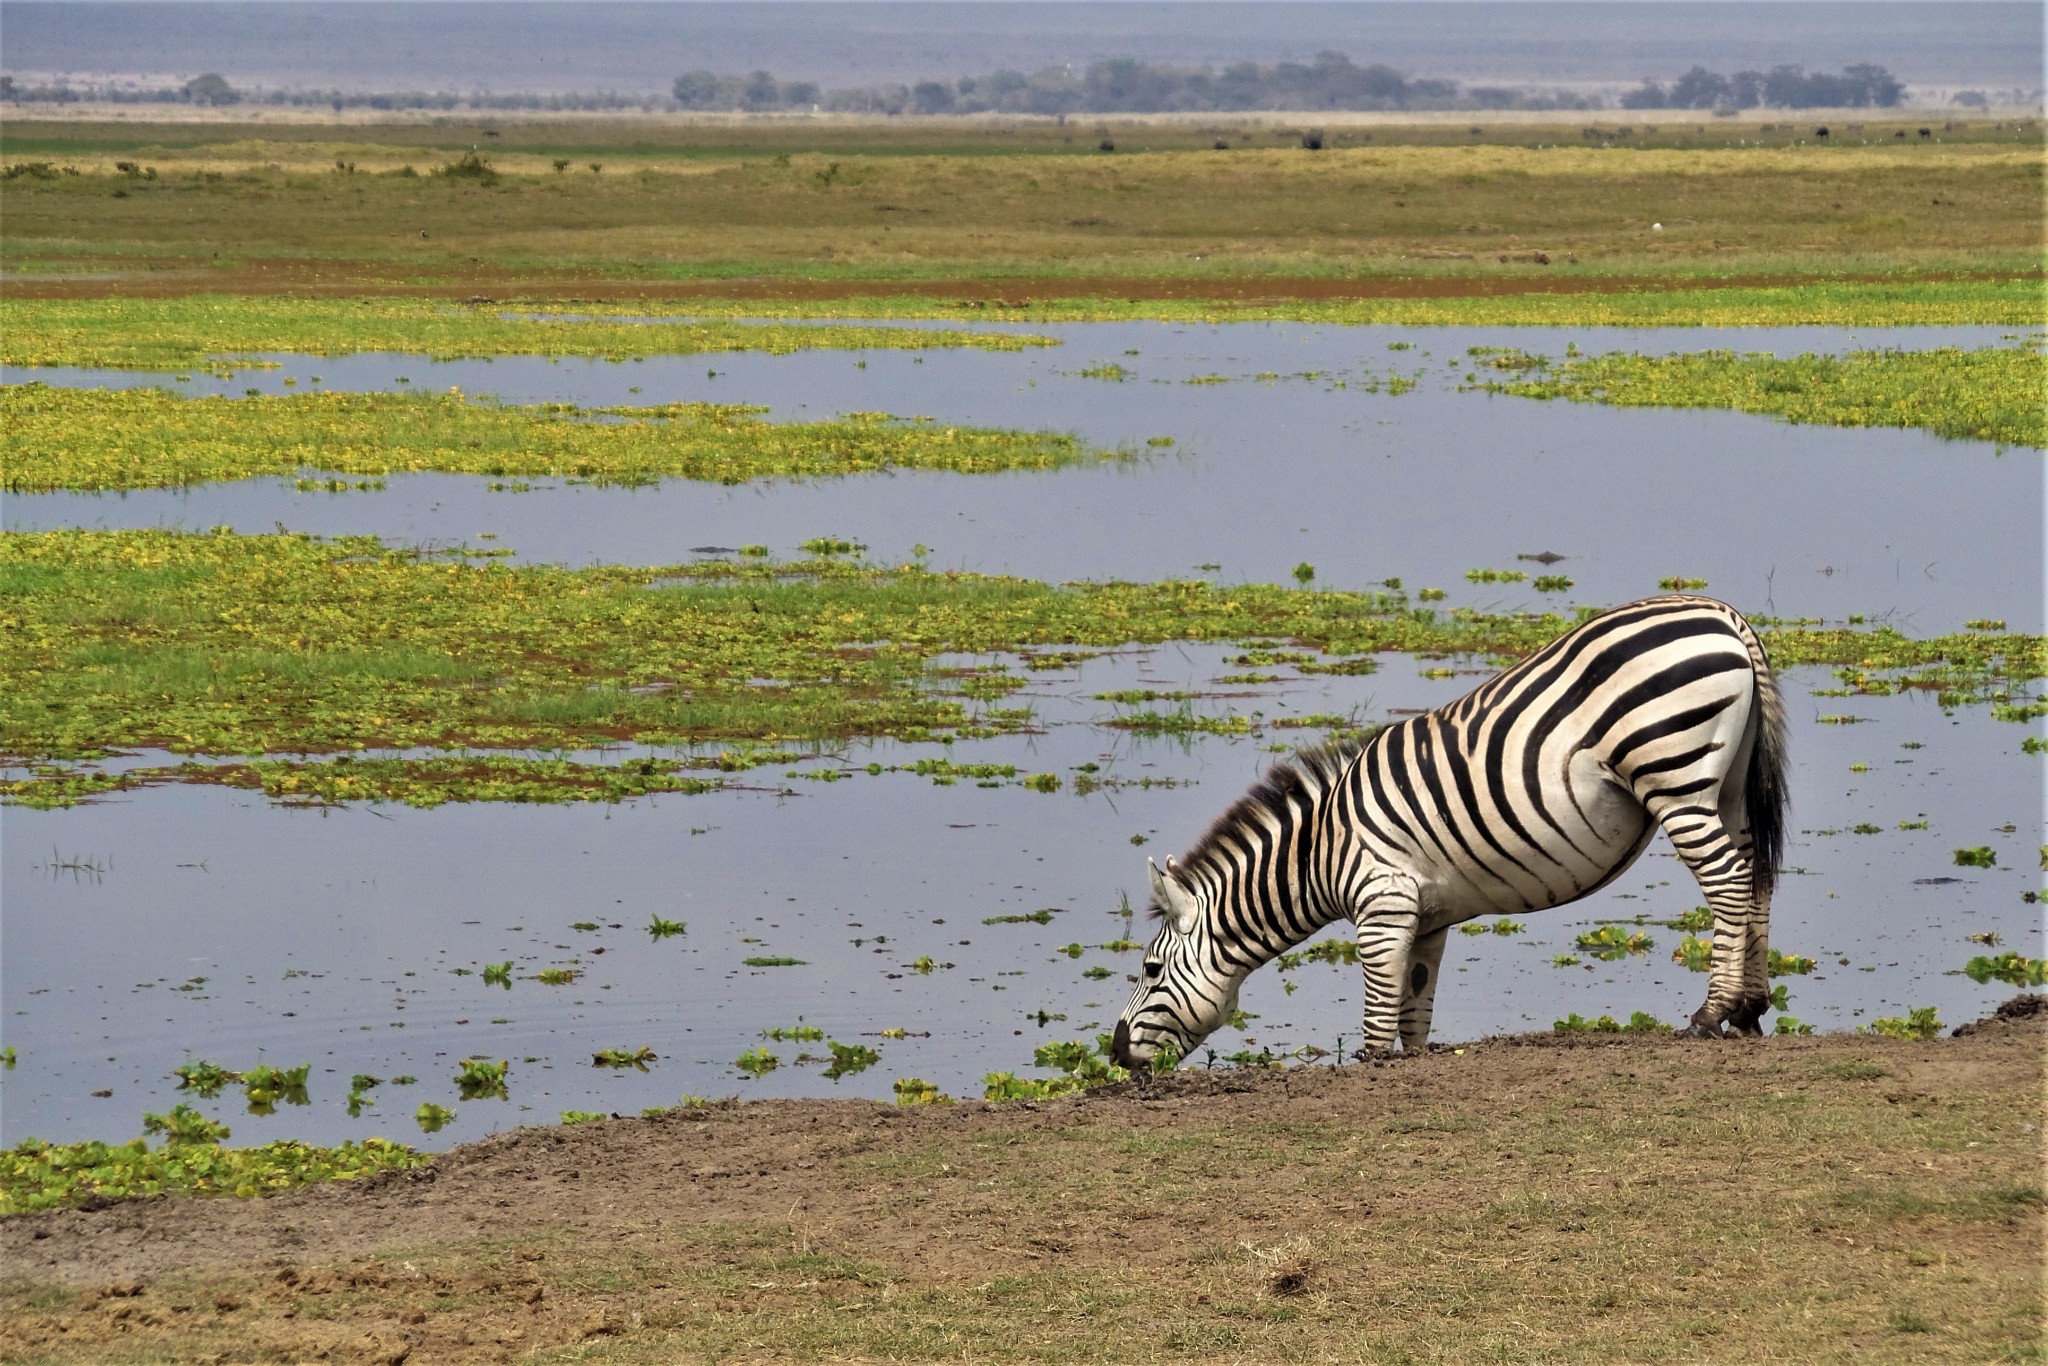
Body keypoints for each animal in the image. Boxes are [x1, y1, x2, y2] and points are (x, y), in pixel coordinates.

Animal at [1114, 593, 1785, 1064]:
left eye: (1149, 971)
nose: (1116, 1053)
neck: (1319, 851)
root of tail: (1724, 615)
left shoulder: (1383, 904)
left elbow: (1378, 1015)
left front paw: (1373, 1063)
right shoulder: (1428, 917)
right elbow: (1415, 1005)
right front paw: (1414, 1058)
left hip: (1674, 775)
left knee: (1727, 882)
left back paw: (1711, 1013)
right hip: (1728, 787)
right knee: (1756, 877)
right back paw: (1750, 1010)